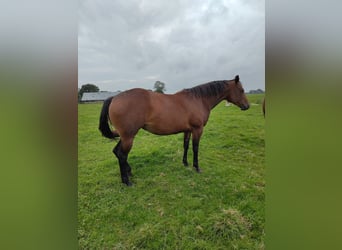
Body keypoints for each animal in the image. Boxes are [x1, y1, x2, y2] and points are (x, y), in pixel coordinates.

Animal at [98, 74, 248, 186]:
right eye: (241, 90)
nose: (247, 106)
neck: (198, 100)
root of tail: (114, 98)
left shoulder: (188, 130)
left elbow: (186, 145)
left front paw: (185, 163)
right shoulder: (197, 130)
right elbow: (195, 148)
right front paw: (196, 167)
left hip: (125, 136)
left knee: (117, 152)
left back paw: (129, 172)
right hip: (128, 136)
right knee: (122, 155)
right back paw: (127, 181)